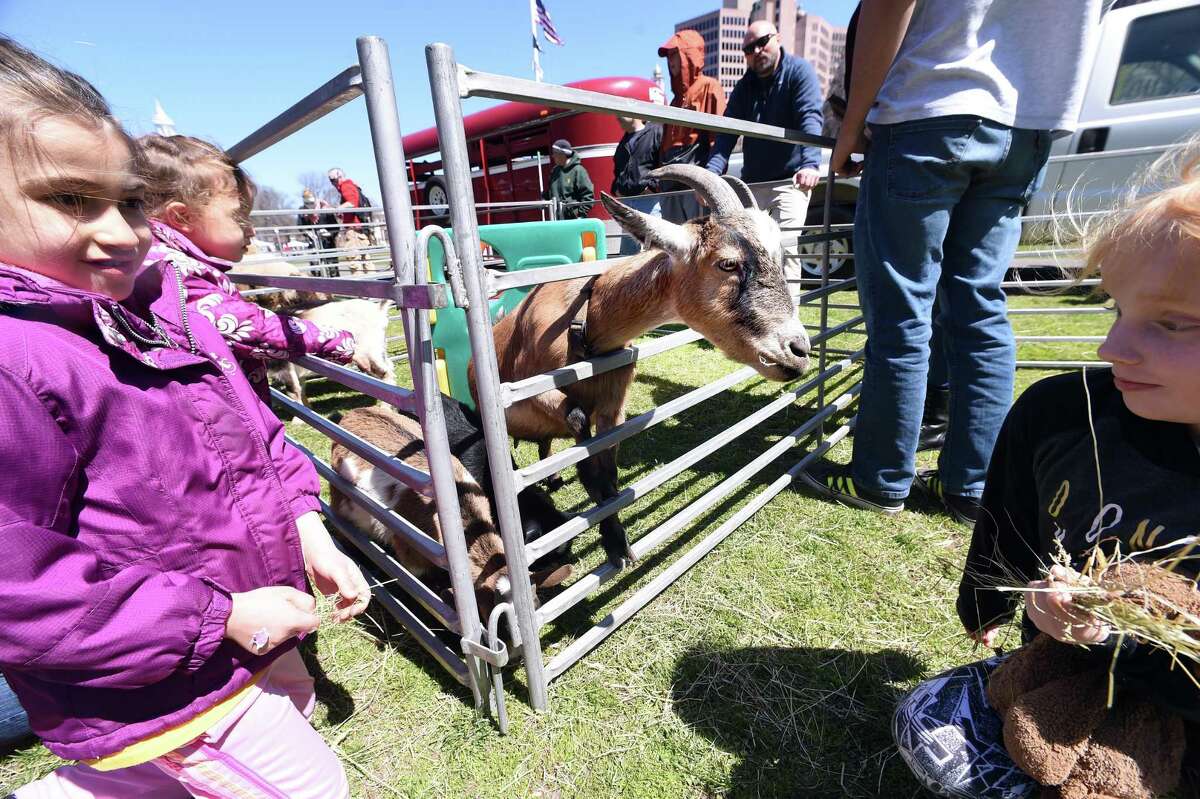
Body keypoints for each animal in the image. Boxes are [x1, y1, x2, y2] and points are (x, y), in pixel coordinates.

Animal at [472, 164, 811, 566]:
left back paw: (552, 478)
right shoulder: (532, 396)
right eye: (728, 262)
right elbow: (581, 437)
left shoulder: (613, 408)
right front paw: (614, 542)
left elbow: (608, 474)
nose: (798, 350)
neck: (587, 324)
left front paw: (618, 541)